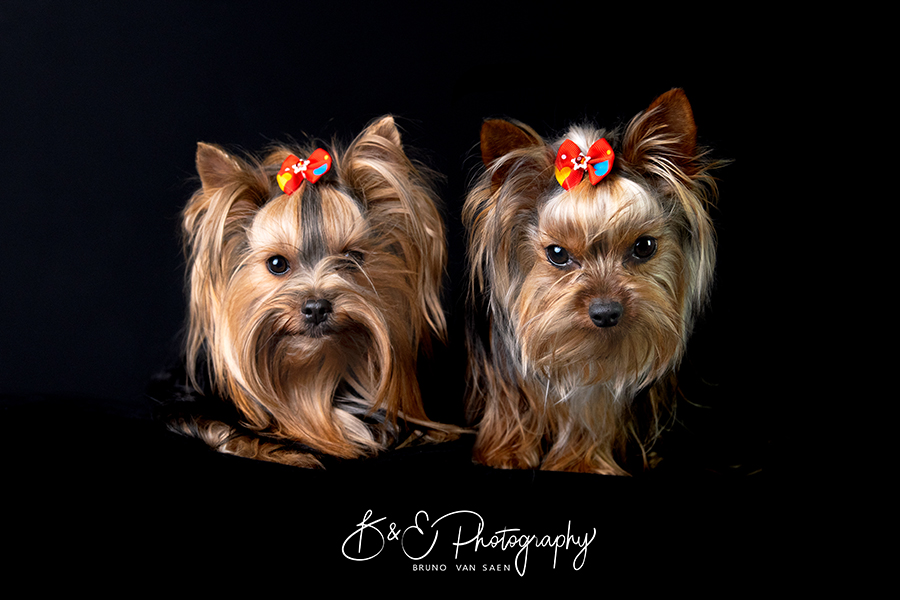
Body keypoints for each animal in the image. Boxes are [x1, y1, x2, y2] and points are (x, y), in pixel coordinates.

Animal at [460, 90, 720, 474]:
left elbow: (593, 410)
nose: (606, 312)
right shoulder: (506, 370)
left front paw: (579, 459)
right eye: (557, 253)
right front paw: (506, 452)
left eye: (644, 246)